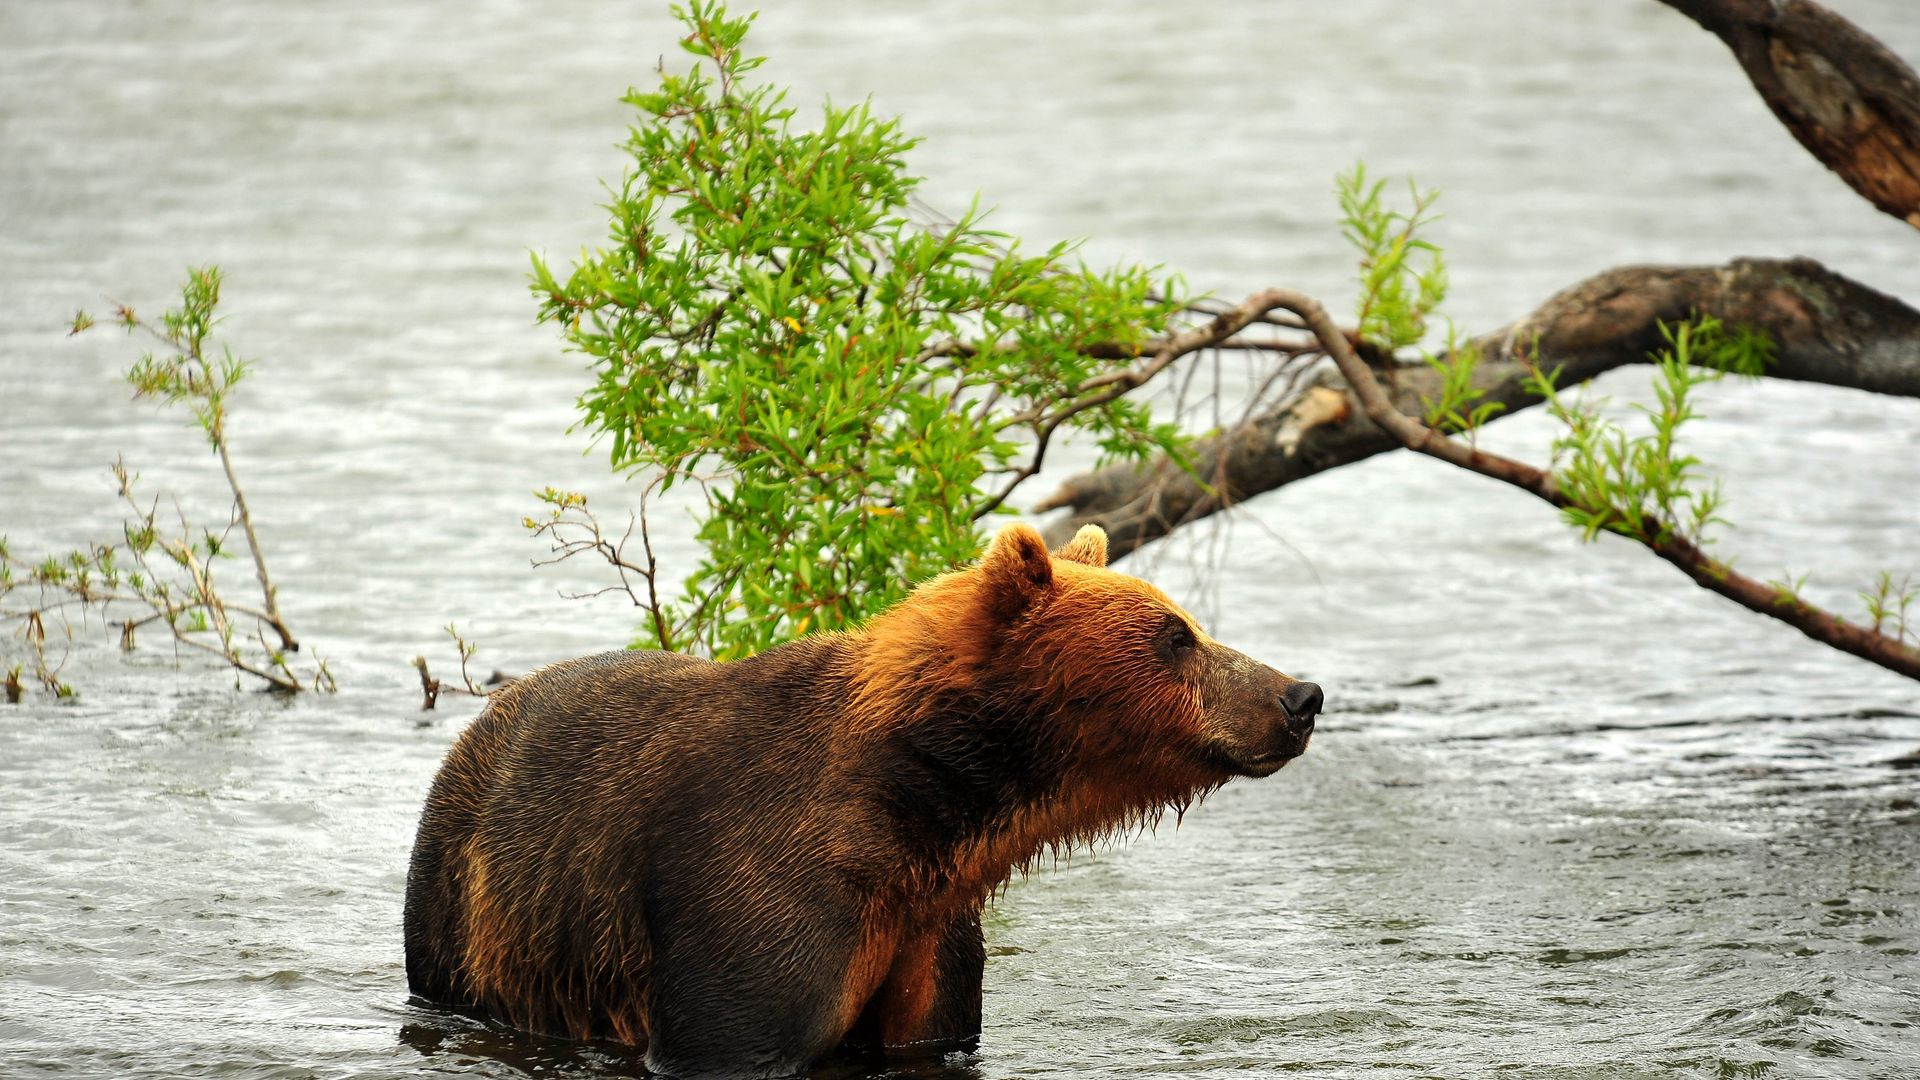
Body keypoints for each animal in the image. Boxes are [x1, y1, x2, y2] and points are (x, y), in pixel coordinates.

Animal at [405, 518, 1320, 1068]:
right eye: (1176, 636)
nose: (1299, 694)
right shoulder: (753, 893)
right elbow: (734, 1027)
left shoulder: (929, 931)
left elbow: (929, 1027)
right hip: (464, 902)